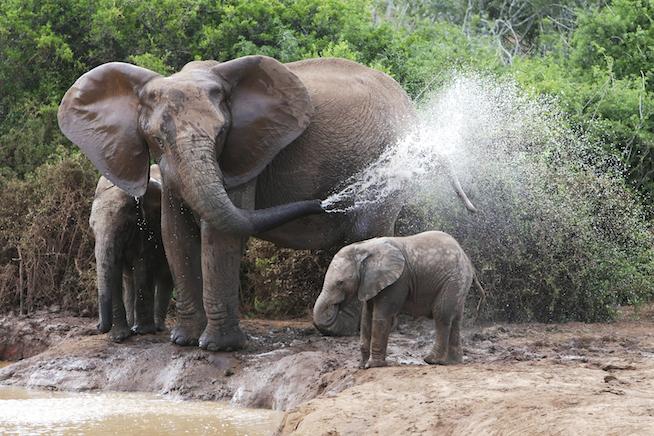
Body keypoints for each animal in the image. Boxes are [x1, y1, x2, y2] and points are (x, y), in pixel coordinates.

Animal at [89, 164, 173, 340]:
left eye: (125, 226)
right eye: (92, 228)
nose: (98, 326)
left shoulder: (148, 225)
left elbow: (142, 263)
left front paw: (143, 332)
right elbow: (115, 270)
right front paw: (120, 338)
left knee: (164, 275)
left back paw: (156, 327)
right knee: (129, 279)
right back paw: (133, 326)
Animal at [314, 230, 476, 370]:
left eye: (340, 283)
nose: (335, 307)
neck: (363, 247)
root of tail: (465, 255)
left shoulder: (398, 281)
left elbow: (381, 317)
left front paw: (373, 365)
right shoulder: (370, 282)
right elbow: (367, 317)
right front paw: (361, 366)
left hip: (453, 279)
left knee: (442, 314)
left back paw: (431, 360)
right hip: (459, 282)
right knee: (455, 319)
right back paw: (453, 362)